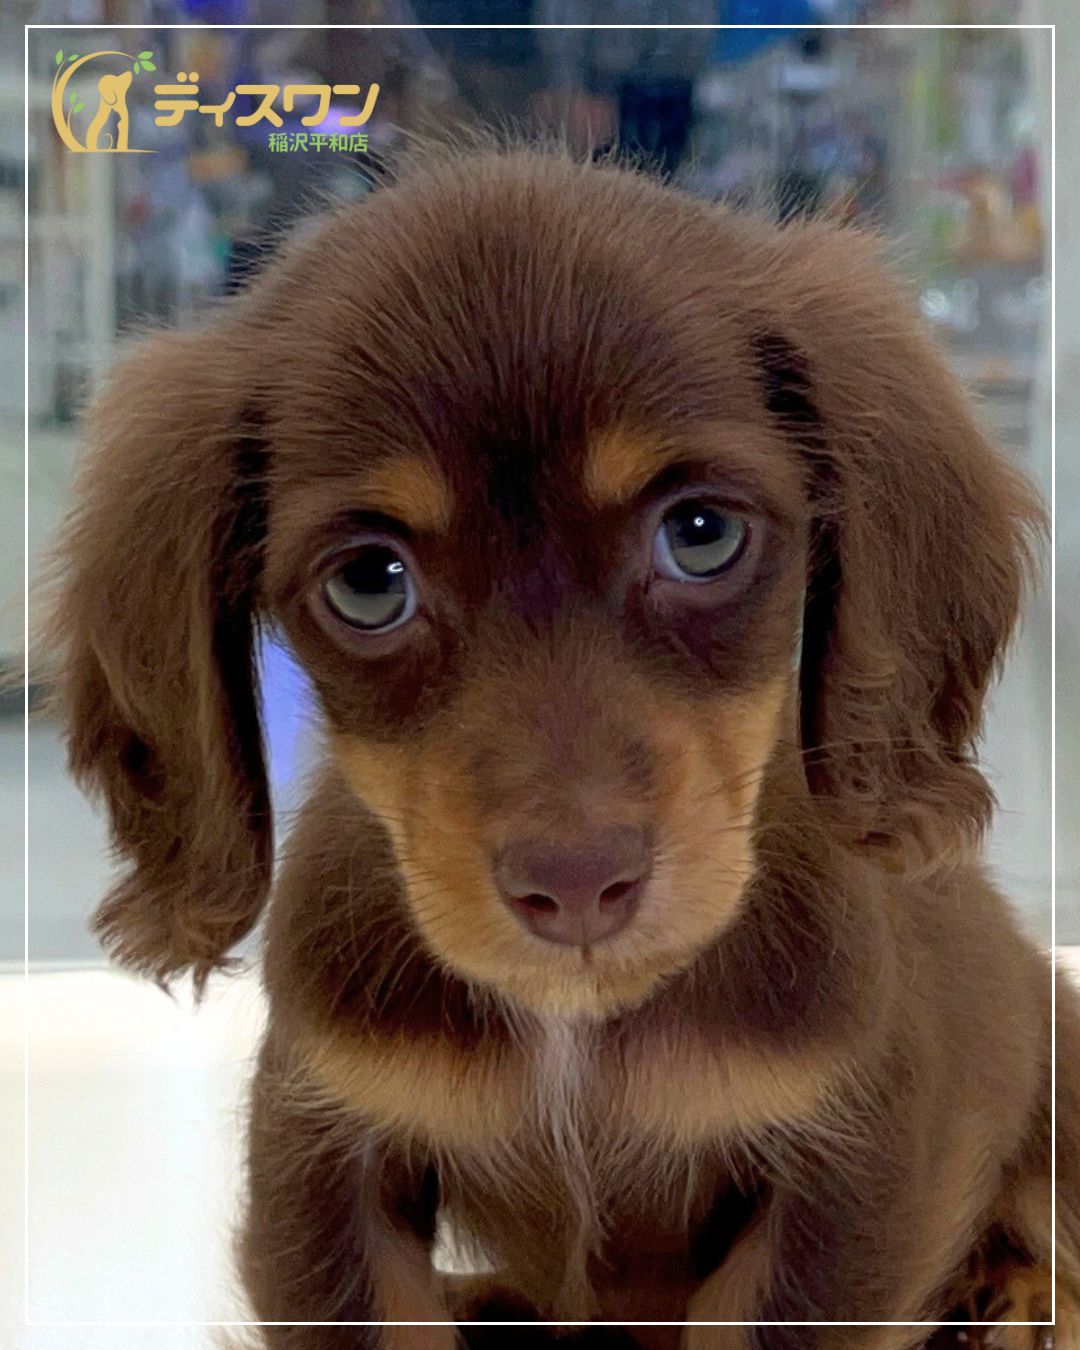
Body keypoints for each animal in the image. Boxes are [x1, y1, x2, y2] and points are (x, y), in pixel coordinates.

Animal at [43, 145, 1080, 1347]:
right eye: (368, 583)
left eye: (701, 534)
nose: (579, 886)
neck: (577, 1027)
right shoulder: (327, 1157)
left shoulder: (851, 1180)